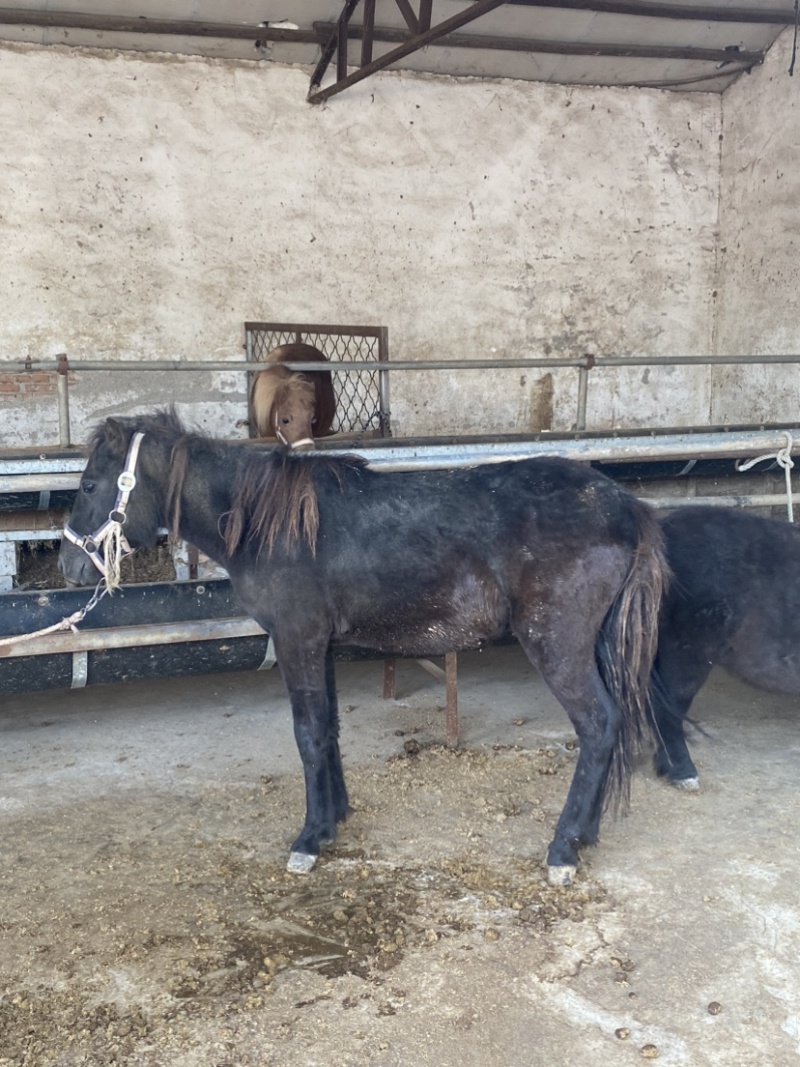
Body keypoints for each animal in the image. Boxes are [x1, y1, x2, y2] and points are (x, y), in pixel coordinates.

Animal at [58, 409, 669, 885]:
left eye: (89, 486)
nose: (67, 565)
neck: (270, 522)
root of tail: (624, 506)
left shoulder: (297, 640)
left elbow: (307, 734)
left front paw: (308, 840)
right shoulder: (320, 646)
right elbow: (328, 728)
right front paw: (334, 820)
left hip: (556, 644)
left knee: (597, 725)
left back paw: (563, 848)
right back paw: (585, 835)